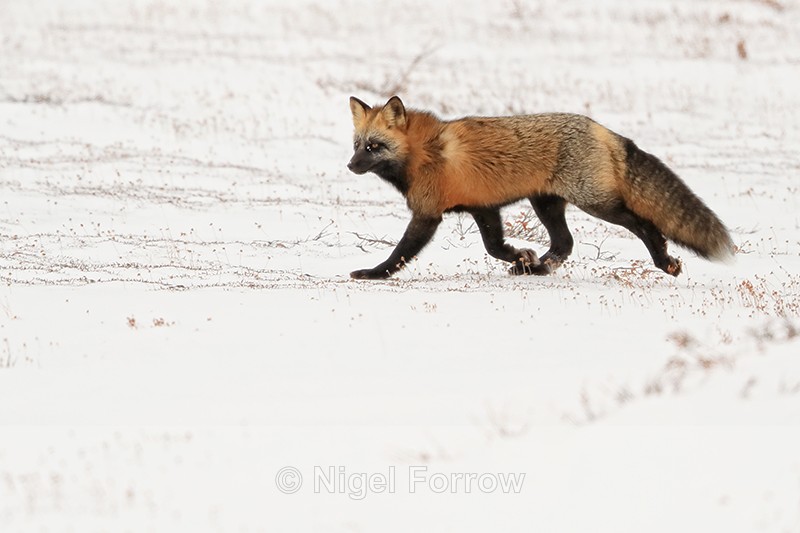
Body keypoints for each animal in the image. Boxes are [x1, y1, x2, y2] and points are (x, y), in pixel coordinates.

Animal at [346, 95, 734, 280]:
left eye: (374, 147)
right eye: (357, 145)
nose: (350, 166)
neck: (423, 153)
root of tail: (602, 129)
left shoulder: (428, 213)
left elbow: (399, 253)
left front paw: (373, 274)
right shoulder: (482, 206)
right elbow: (494, 246)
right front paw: (522, 257)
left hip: (596, 203)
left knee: (643, 224)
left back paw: (664, 261)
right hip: (546, 204)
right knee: (564, 243)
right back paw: (538, 268)